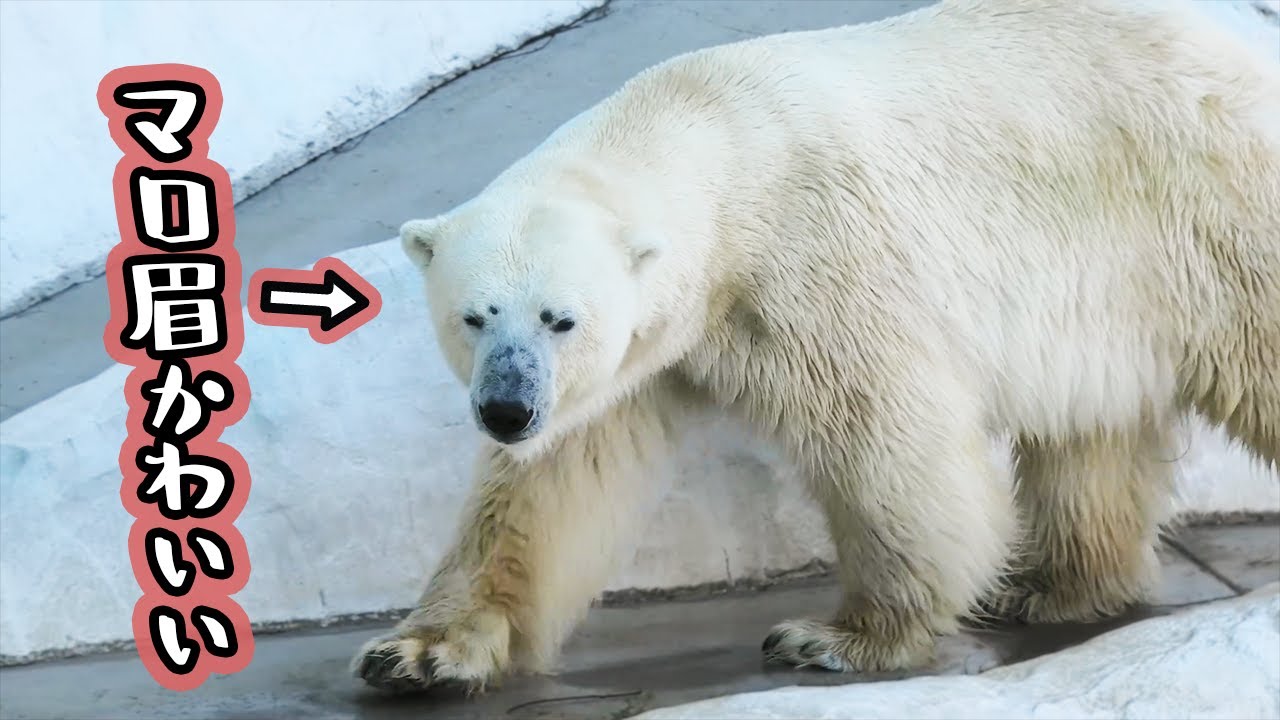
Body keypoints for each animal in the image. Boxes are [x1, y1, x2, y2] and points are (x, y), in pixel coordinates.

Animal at [352, 0, 1280, 693]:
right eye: (473, 317)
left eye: (560, 318)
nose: (505, 410)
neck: (716, 132)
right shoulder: (635, 360)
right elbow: (553, 485)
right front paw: (420, 651)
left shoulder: (816, 266)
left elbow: (884, 441)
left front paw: (838, 637)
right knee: (1088, 435)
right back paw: (1054, 585)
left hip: (1201, 211)